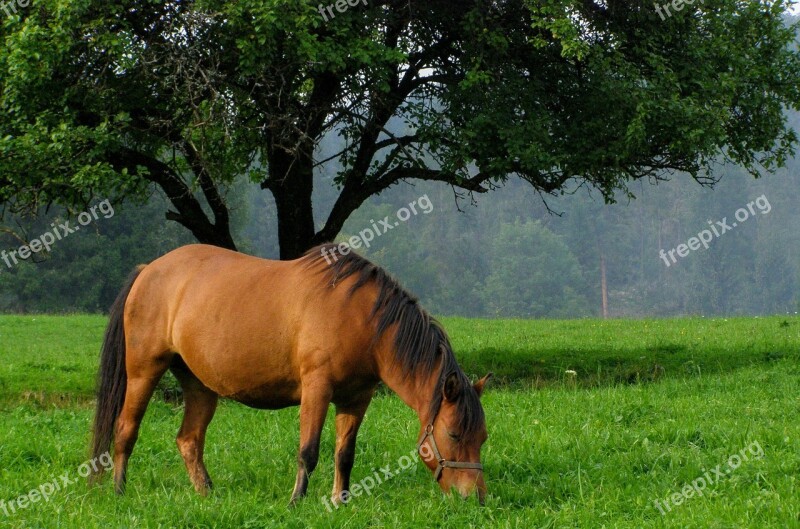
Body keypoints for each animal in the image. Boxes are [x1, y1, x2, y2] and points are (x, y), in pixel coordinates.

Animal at [87, 243, 488, 504]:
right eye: (454, 433)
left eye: (482, 437)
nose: (476, 498)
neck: (362, 318)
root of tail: (148, 270)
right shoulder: (317, 389)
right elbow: (308, 451)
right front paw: (297, 501)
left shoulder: (357, 398)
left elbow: (345, 453)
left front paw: (340, 501)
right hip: (143, 371)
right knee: (125, 430)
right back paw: (120, 492)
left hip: (200, 385)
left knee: (188, 441)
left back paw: (207, 495)